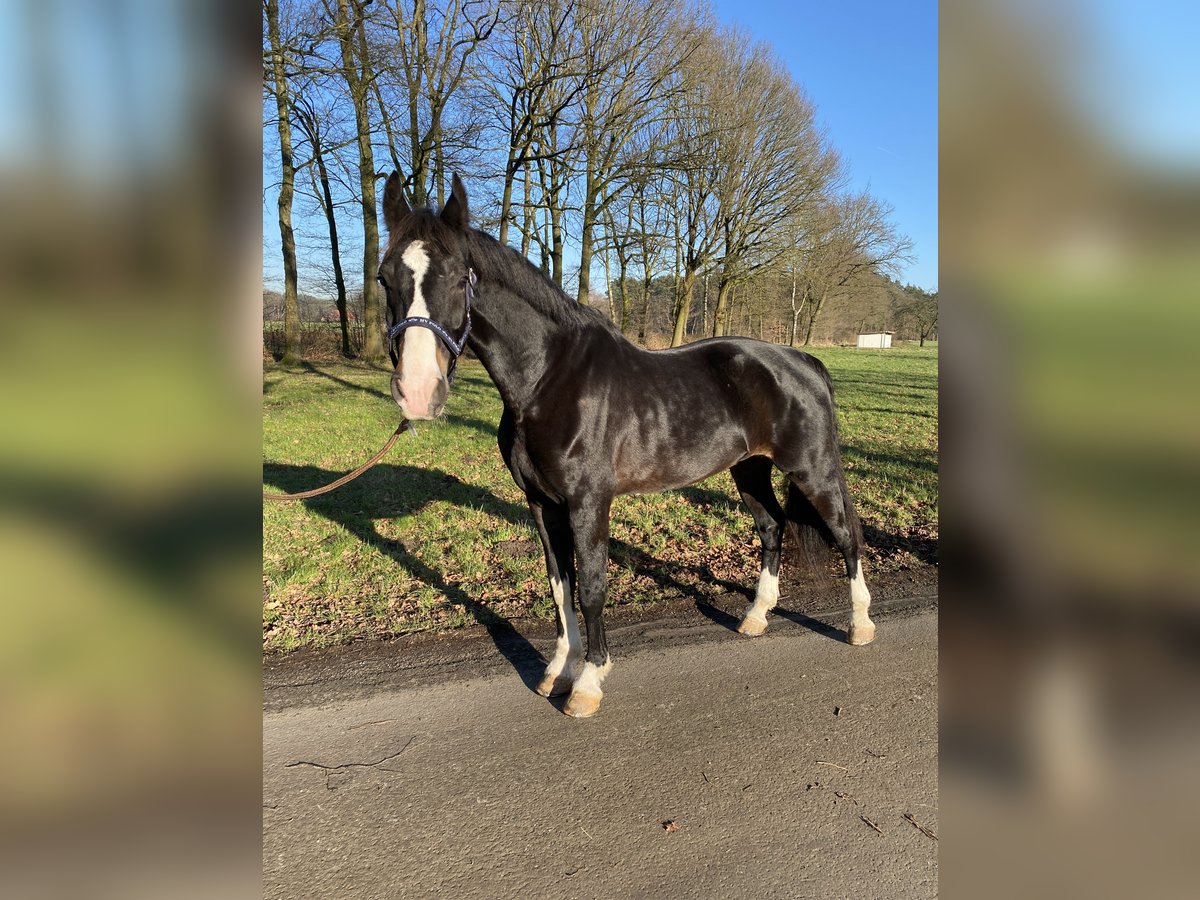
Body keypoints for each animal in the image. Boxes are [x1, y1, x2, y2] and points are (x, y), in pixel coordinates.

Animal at [379, 172, 878, 715]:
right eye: (384, 277)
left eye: (457, 276)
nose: (417, 392)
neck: (548, 380)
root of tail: (803, 361)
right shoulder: (541, 503)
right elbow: (560, 586)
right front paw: (557, 671)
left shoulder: (588, 502)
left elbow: (592, 589)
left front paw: (588, 683)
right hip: (749, 468)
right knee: (772, 526)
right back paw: (755, 618)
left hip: (812, 468)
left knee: (847, 533)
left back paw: (860, 626)